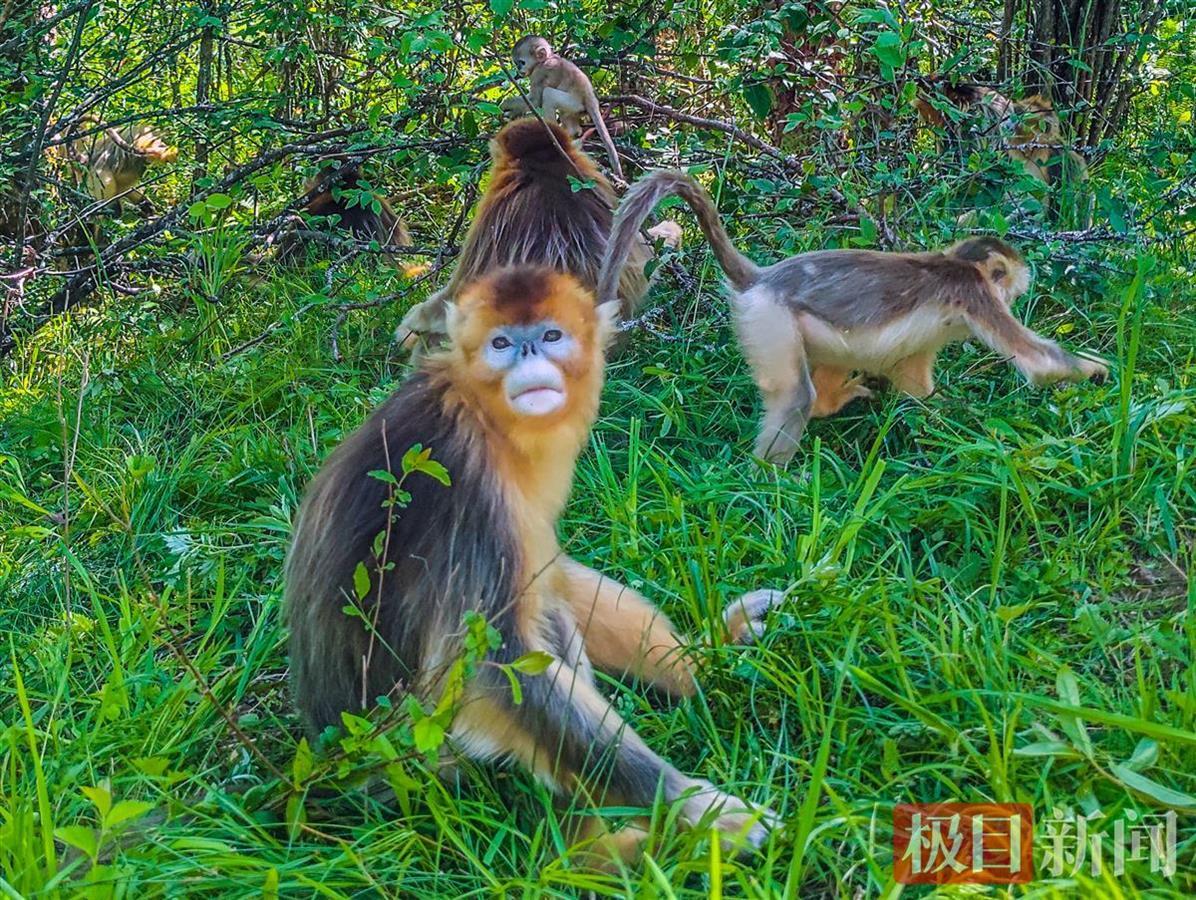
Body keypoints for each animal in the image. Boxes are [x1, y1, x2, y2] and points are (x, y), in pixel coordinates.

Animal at [285, 265, 779, 865]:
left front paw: (706, 659)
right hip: (421, 754)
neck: (480, 412)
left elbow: (555, 575)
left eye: (550, 336)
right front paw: (699, 811)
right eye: (501, 344)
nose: (528, 356)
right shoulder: (468, 489)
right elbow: (497, 670)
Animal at [499, 36, 626, 182]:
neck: (547, 59)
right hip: (576, 109)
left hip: (574, 102)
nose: (519, 70)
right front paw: (511, 113)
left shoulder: (540, 71)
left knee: (548, 94)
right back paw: (572, 133)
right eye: (517, 63)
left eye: (522, 62)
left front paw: (504, 105)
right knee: (567, 117)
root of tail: (590, 97)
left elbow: (535, 101)